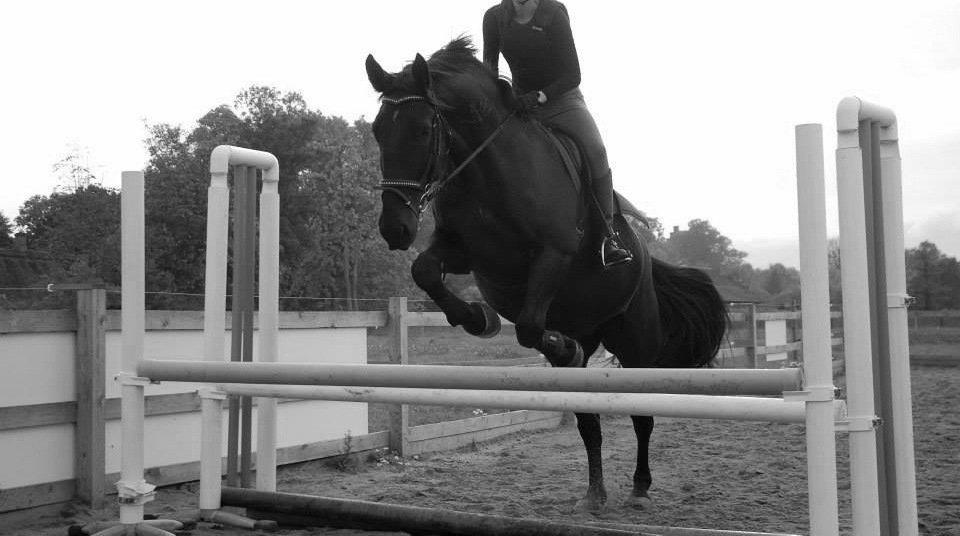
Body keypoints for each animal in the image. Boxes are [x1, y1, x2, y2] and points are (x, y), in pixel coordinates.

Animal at [364, 37, 724, 510]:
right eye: (377, 131)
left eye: (423, 130)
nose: (395, 229)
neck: (486, 170)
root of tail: (647, 260)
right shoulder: (464, 253)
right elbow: (425, 270)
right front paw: (478, 318)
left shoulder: (553, 254)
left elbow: (530, 325)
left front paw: (550, 342)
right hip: (591, 334)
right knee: (588, 421)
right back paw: (594, 491)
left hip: (637, 339)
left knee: (641, 414)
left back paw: (640, 485)